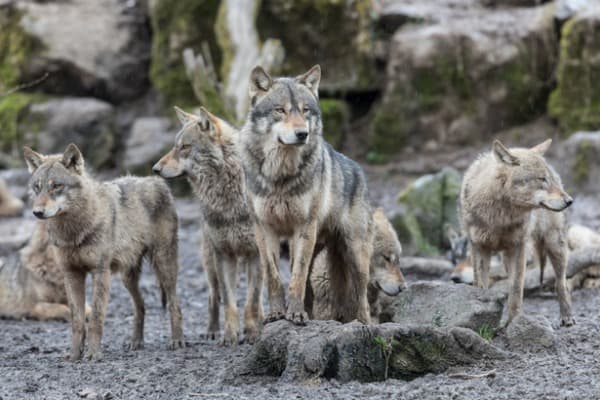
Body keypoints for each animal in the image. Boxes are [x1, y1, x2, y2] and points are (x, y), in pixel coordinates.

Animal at [23, 145, 184, 362]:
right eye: (37, 187)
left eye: (56, 186)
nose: (38, 212)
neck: (74, 232)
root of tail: (157, 181)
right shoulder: (71, 274)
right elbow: (77, 320)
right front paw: (74, 355)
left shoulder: (100, 273)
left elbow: (96, 317)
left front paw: (93, 354)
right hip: (127, 278)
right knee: (141, 306)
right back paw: (136, 342)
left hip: (164, 267)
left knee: (175, 303)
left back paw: (177, 341)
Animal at [240, 64, 372, 324]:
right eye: (280, 110)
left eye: (305, 110)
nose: (302, 134)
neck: (280, 175)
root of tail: (359, 170)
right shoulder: (264, 228)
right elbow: (273, 276)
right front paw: (277, 313)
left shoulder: (303, 228)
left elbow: (297, 276)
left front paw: (295, 314)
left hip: (354, 254)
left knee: (362, 297)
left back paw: (363, 324)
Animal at [462, 139, 576, 326]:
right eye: (542, 179)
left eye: (550, 179)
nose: (570, 201)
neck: (500, 217)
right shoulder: (479, 247)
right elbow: (480, 284)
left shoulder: (518, 247)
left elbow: (516, 289)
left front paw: (514, 322)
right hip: (506, 257)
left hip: (555, 245)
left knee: (561, 283)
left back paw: (567, 316)